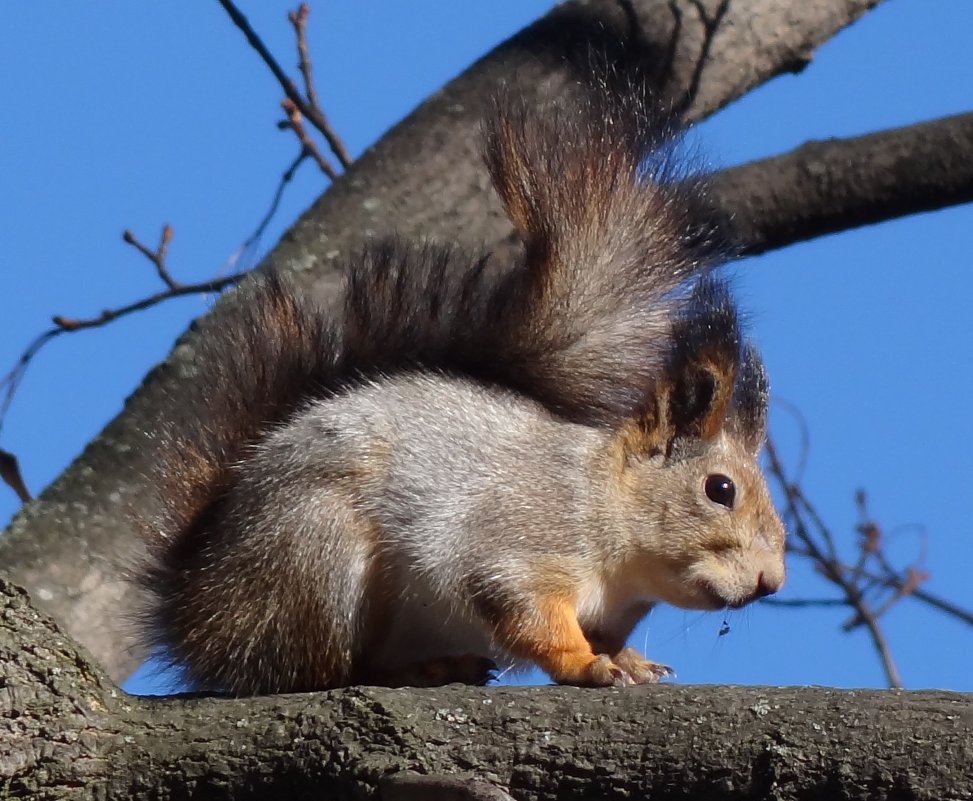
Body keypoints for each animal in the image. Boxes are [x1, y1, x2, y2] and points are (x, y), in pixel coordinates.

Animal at [137, 69, 784, 692]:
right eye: (719, 489)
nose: (771, 581)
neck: (607, 510)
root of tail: (199, 612)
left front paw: (630, 658)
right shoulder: (517, 543)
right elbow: (527, 613)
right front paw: (587, 664)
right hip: (316, 557)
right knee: (323, 670)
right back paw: (417, 671)